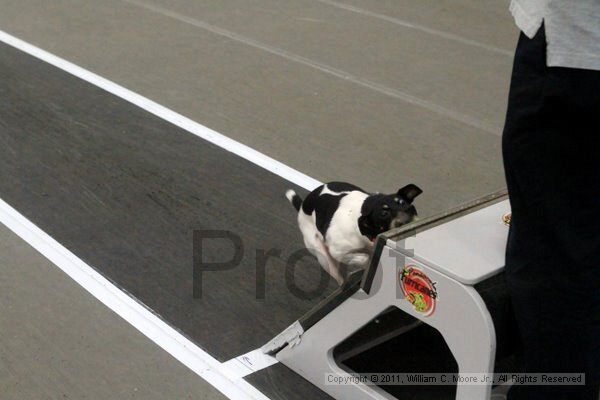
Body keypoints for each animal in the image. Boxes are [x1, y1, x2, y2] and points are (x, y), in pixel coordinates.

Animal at [286, 181, 422, 284]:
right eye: (384, 214)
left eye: (402, 203)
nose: (406, 221)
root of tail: (302, 206)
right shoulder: (338, 252)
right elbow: (364, 258)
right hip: (323, 258)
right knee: (339, 278)